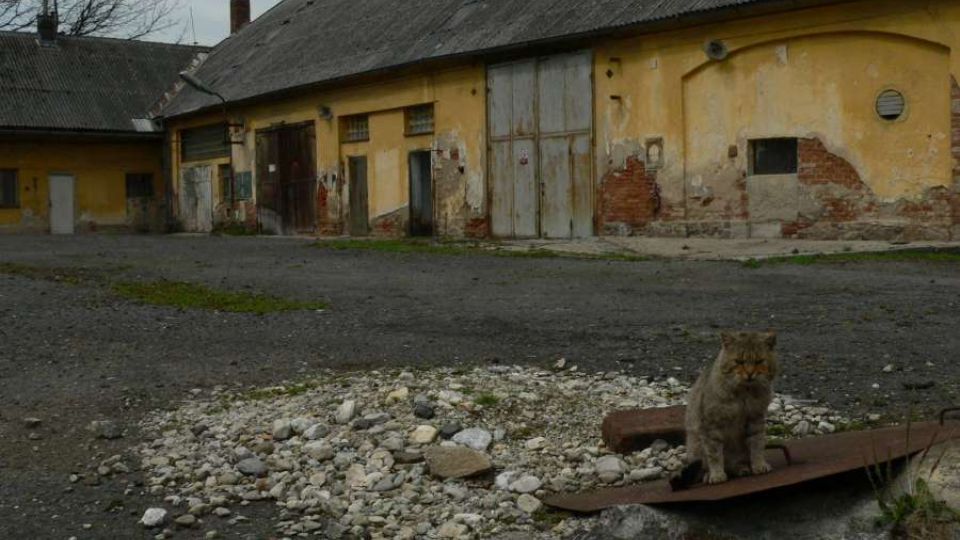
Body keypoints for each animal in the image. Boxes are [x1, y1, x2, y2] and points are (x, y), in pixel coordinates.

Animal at [684, 330, 780, 486]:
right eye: (739, 361)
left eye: (759, 361)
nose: (749, 374)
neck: (744, 394)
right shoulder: (711, 425)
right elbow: (714, 454)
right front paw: (716, 475)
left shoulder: (756, 418)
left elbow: (757, 444)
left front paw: (759, 465)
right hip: (695, 447)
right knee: (704, 467)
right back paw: (709, 474)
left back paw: (742, 468)